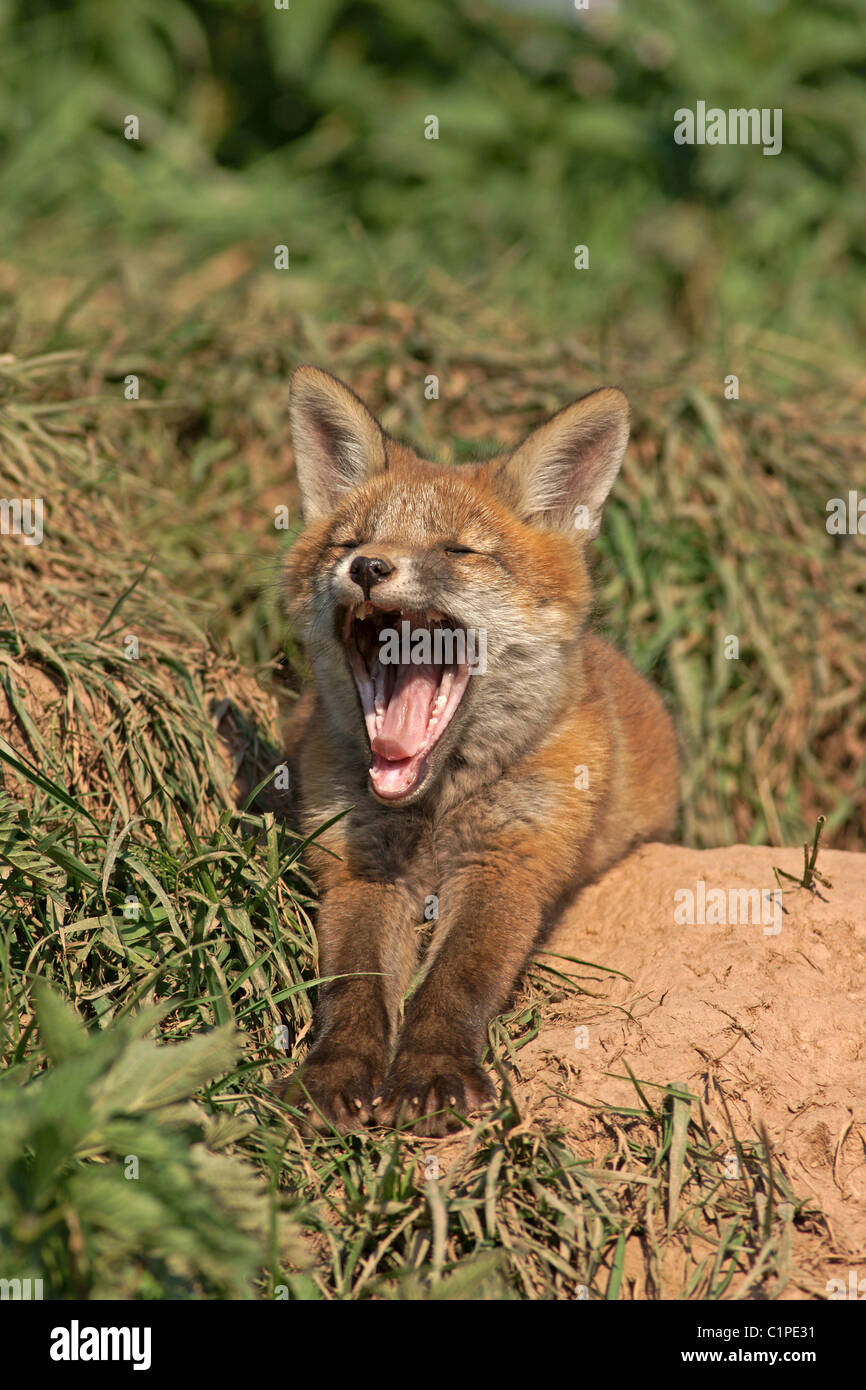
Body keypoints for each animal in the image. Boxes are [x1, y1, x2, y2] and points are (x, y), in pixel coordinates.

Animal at [280, 366, 681, 1128]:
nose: (368, 567)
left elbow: (457, 980)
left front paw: (433, 1072)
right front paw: (337, 1071)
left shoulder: (511, 863)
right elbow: (354, 984)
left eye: (456, 551)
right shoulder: (360, 867)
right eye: (349, 542)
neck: (437, 809)